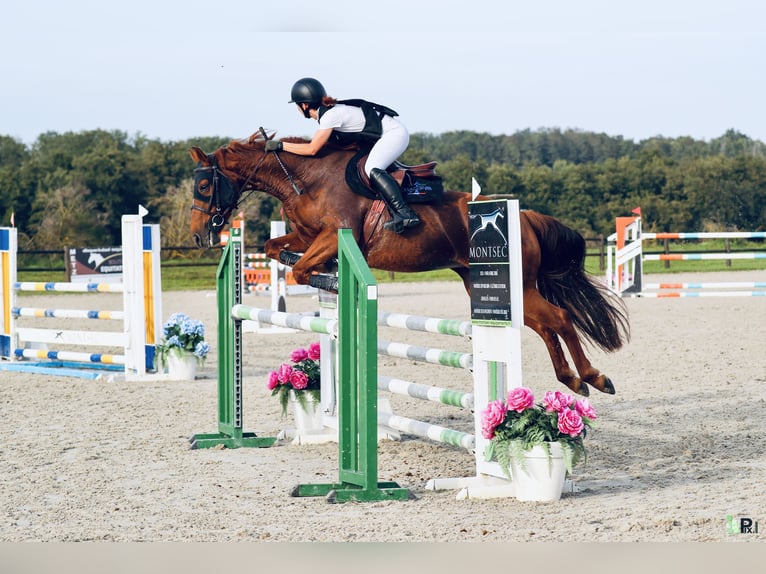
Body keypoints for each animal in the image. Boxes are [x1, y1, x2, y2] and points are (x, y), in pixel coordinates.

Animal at [189, 133, 628, 398]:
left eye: (205, 185)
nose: (197, 235)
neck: (306, 179)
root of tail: (525, 215)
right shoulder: (307, 236)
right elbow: (275, 248)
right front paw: (322, 273)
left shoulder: (335, 235)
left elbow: (299, 269)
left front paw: (330, 279)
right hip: (495, 286)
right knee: (544, 324)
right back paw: (574, 380)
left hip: (517, 284)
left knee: (559, 318)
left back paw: (594, 377)